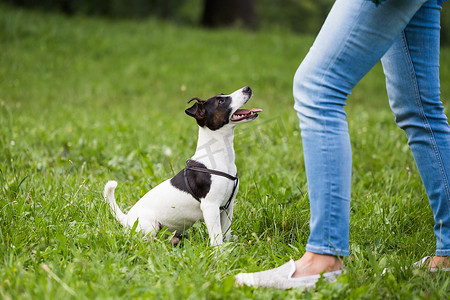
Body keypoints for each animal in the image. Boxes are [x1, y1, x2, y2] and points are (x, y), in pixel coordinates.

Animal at [103, 85, 262, 245]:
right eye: (221, 101)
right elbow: (216, 236)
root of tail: (127, 218)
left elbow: (226, 232)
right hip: (149, 225)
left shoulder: (227, 207)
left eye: (223, 95)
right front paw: (219, 251)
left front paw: (229, 246)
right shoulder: (210, 206)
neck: (220, 156)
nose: (247, 88)